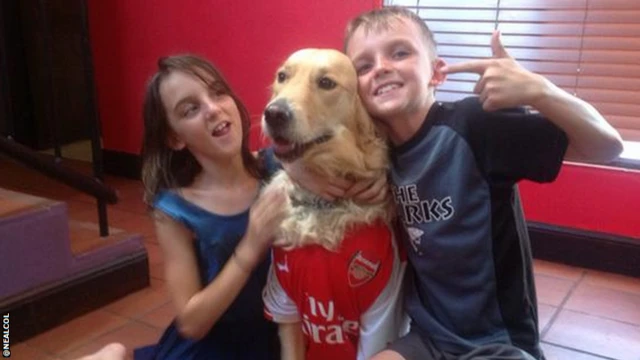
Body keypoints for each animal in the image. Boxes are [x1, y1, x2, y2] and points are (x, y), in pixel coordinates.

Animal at [262, 49, 404, 360]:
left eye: (326, 83)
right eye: (282, 76)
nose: (274, 113)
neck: (322, 205)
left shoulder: (381, 312)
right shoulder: (284, 305)